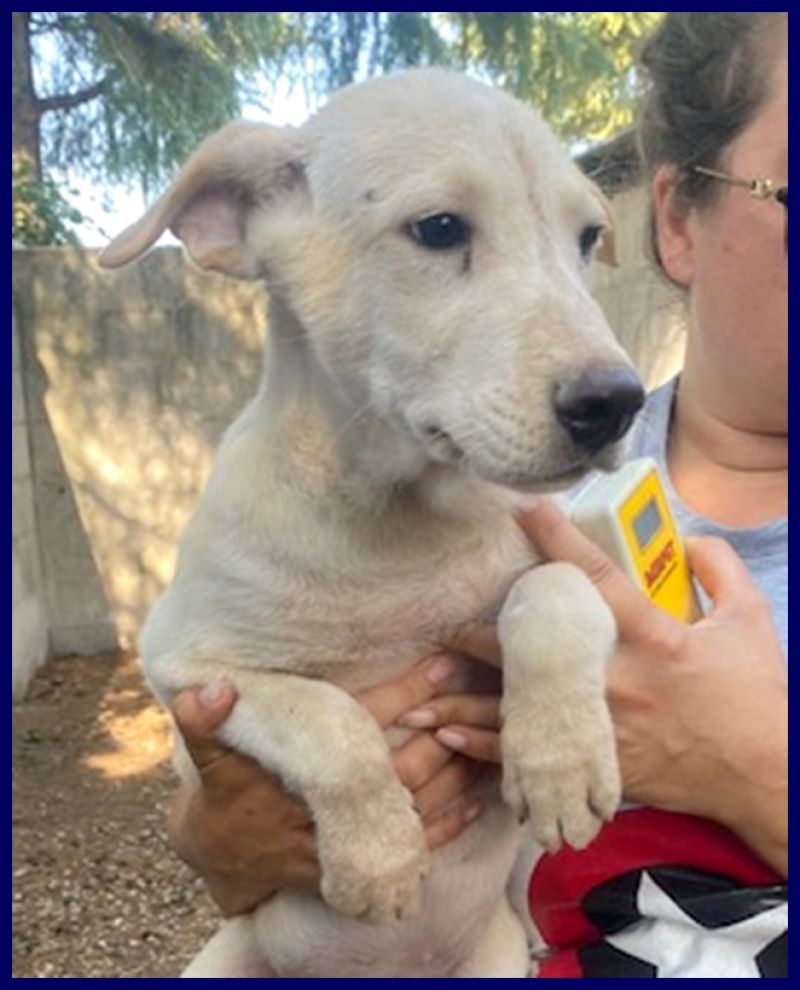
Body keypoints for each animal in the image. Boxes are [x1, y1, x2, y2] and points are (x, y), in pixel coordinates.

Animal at [100, 71, 648, 984]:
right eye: (438, 229)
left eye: (587, 237)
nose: (615, 403)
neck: (396, 527)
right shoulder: (189, 667)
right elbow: (328, 719)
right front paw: (379, 858)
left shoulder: (584, 561)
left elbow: (556, 588)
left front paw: (561, 761)